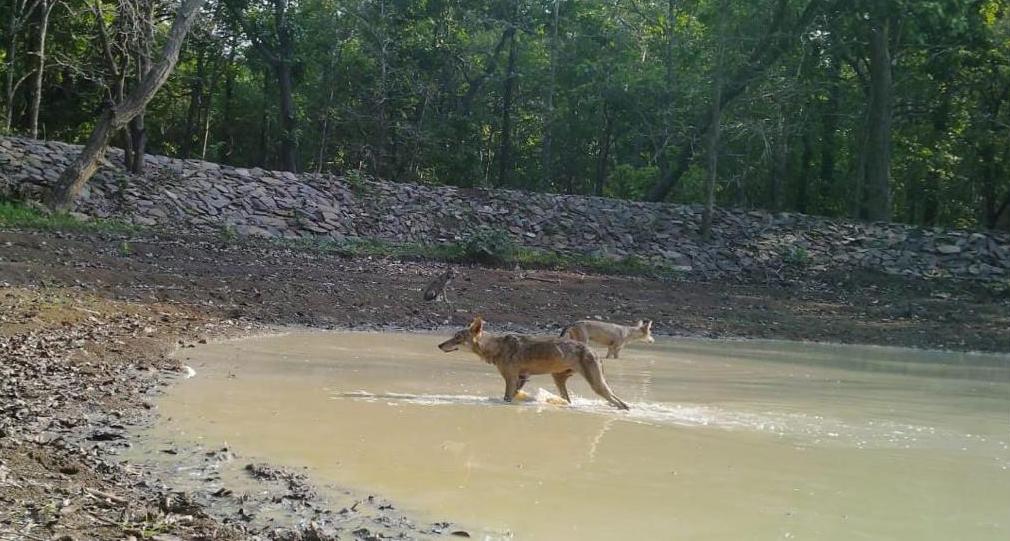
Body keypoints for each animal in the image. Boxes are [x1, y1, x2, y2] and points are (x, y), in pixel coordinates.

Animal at [436, 316, 626, 409]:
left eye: (457, 337)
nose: (439, 345)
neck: (497, 347)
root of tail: (594, 352)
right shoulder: (521, 379)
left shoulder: (511, 378)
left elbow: (506, 398)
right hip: (559, 380)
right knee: (570, 400)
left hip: (597, 386)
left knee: (621, 403)